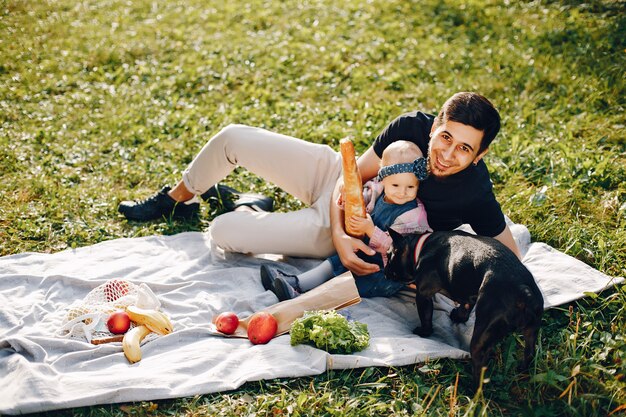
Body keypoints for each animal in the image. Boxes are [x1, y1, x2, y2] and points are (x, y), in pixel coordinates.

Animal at [386, 228, 540, 386]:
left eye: (388, 255)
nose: (385, 271)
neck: (419, 246)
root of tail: (523, 291)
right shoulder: (467, 293)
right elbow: (465, 305)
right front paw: (459, 316)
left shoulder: (423, 295)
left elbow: (426, 317)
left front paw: (424, 332)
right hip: (531, 330)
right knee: (529, 352)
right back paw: (522, 370)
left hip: (481, 336)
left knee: (479, 365)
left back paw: (472, 388)